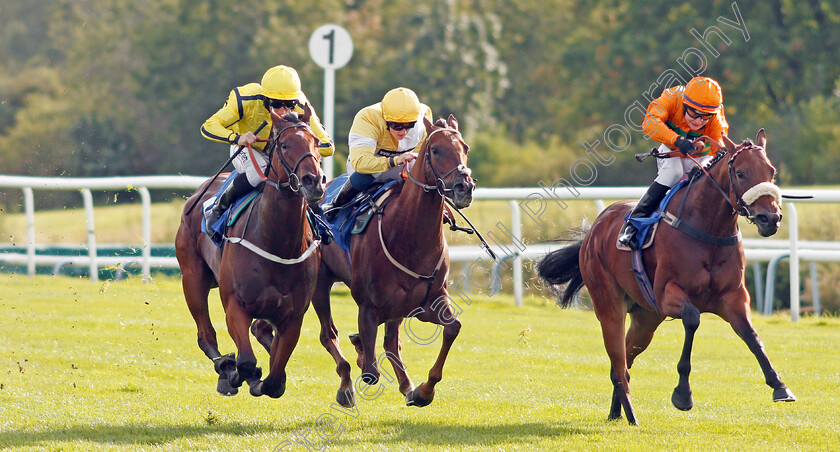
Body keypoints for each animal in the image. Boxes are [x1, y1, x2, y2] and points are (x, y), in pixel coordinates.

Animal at [176, 108, 340, 402]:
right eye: (284, 144)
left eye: (316, 142)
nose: (314, 182)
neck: (277, 242)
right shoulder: (235, 305)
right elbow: (246, 362)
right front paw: (236, 373)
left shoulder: (293, 316)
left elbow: (275, 378)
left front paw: (268, 378)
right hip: (192, 277)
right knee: (206, 335)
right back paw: (224, 367)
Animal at [306, 115, 472, 408]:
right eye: (436, 150)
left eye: (465, 148)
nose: (465, 187)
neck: (407, 236)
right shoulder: (369, 305)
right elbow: (371, 370)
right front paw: (361, 355)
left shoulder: (429, 300)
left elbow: (452, 328)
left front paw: (423, 390)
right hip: (320, 283)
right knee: (329, 334)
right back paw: (346, 387)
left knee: (390, 343)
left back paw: (406, 385)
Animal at [540, 130, 796, 424]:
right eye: (741, 173)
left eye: (771, 171)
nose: (770, 218)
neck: (707, 229)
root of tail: (594, 230)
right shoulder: (667, 296)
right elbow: (693, 318)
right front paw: (683, 394)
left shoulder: (733, 297)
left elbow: (752, 336)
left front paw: (780, 386)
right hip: (609, 306)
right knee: (618, 363)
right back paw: (631, 415)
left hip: (646, 319)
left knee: (625, 360)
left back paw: (616, 412)